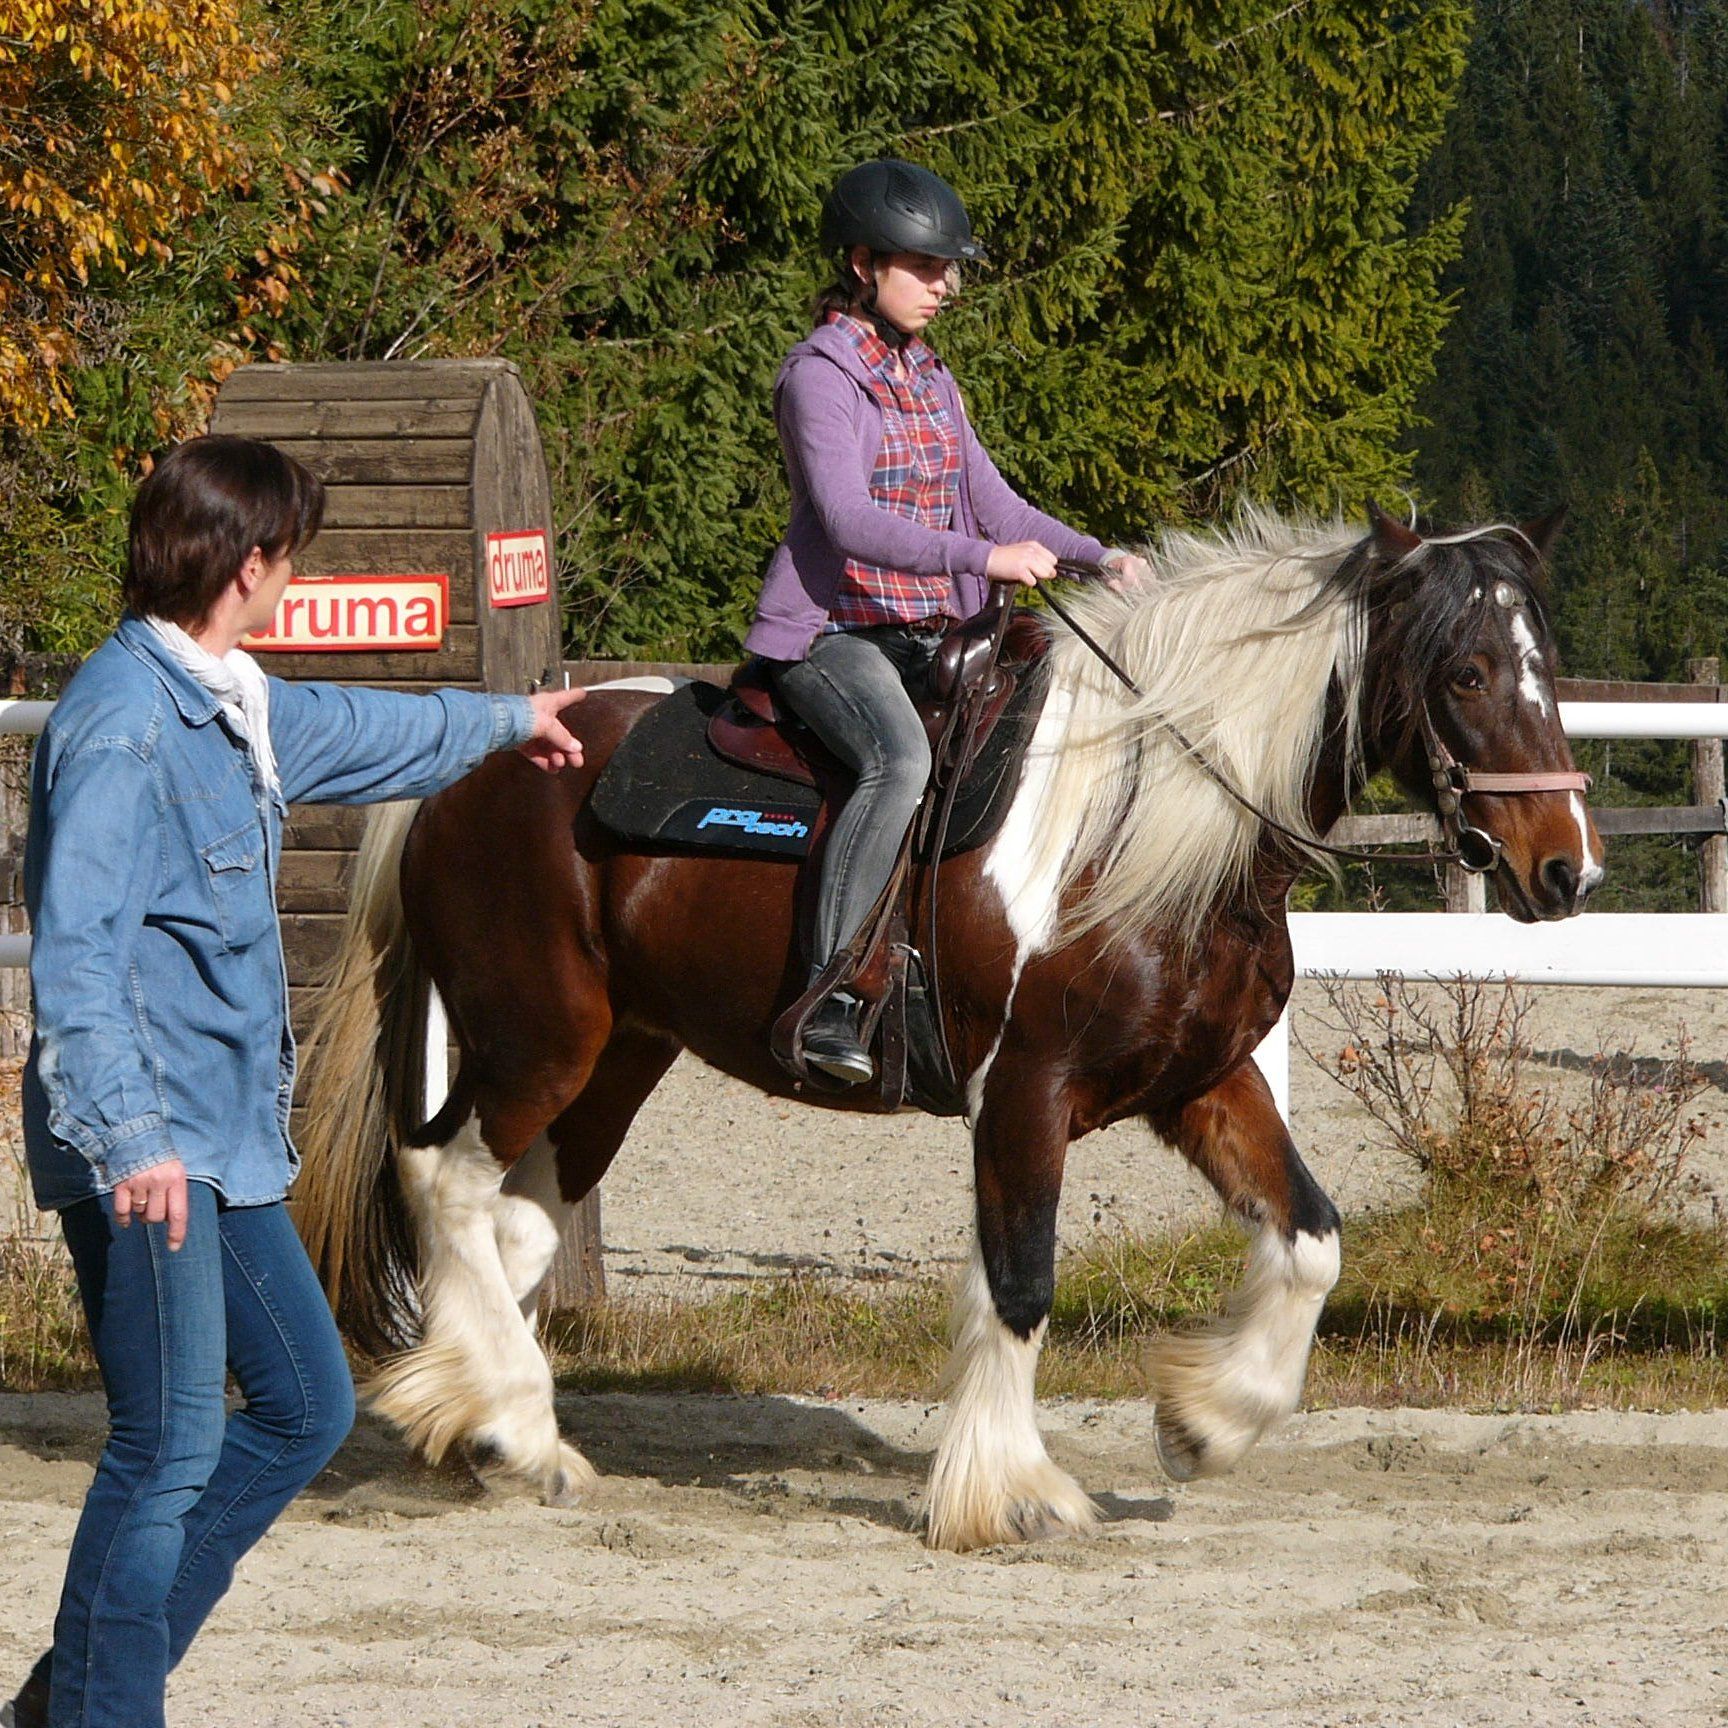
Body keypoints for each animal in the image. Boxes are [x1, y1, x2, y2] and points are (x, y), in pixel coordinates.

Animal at [293, 504, 1603, 1551]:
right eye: (1468, 673)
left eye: (1546, 664)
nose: (1566, 870)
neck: (1140, 824)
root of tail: (477, 762)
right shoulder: (1025, 1092)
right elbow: (1021, 1286)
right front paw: (1011, 1491)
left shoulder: (1203, 1082)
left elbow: (1312, 1239)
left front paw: (1205, 1421)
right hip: (539, 1038)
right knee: (442, 1179)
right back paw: (508, 1426)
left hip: (620, 1054)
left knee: (510, 1221)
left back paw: (486, 1419)